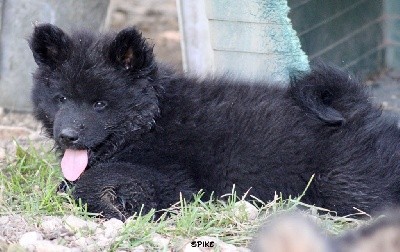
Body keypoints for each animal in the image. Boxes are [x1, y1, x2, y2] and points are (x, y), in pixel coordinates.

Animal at [29, 24, 400, 220]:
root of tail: (359, 108)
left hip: (344, 183)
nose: (67, 136)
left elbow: (95, 181)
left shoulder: (175, 180)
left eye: (100, 104)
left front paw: (109, 198)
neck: (152, 120)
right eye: (61, 99)